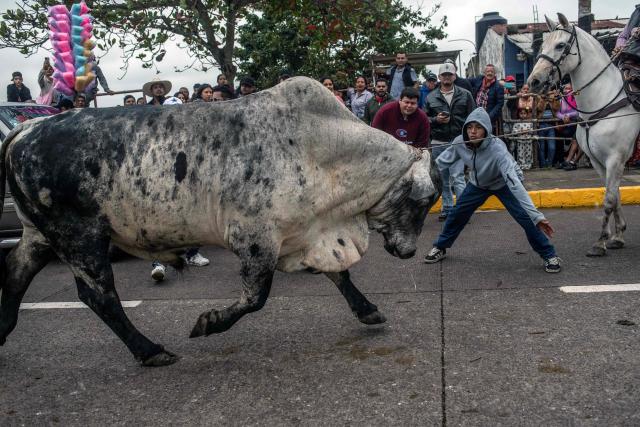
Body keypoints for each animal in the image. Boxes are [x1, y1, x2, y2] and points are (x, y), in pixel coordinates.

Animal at [0, 77, 441, 366]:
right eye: (424, 201)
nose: (408, 251)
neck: (324, 151)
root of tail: (28, 127)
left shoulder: (305, 233)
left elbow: (341, 276)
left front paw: (368, 310)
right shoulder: (256, 238)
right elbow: (255, 298)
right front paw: (208, 323)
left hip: (40, 234)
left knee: (16, 273)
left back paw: (3, 331)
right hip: (81, 236)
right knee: (100, 296)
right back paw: (151, 351)